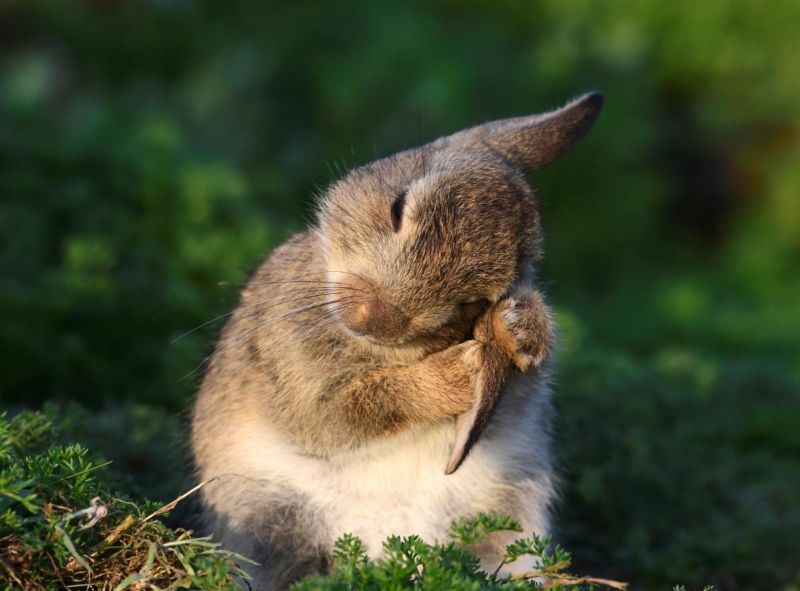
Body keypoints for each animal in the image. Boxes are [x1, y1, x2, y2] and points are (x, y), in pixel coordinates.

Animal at [191, 92, 604, 591]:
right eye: (397, 207)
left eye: (474, 300)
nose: (378, 318)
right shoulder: (294, 377)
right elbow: (347, 413)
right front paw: (457, 373)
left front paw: (522, 328)